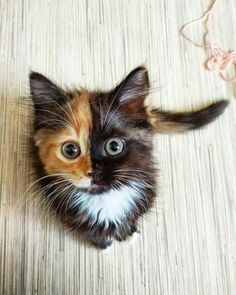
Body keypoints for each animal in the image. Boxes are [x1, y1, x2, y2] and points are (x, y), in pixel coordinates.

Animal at [29, 67, 227, 250]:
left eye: (114, 146)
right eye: (70, 150)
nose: (93, 173)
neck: (106, 198)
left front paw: (128, 233)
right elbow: (92, 232)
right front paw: (104, 245)